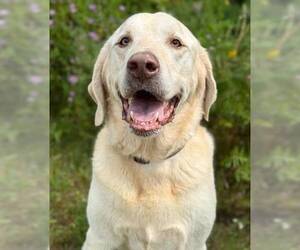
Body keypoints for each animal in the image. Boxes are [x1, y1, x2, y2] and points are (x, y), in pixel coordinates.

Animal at [83, 12, 217, 250]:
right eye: (124, 41)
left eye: (176, 42)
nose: (141, 65)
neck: (151, 159)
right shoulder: (100, 237)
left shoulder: (194, 241)